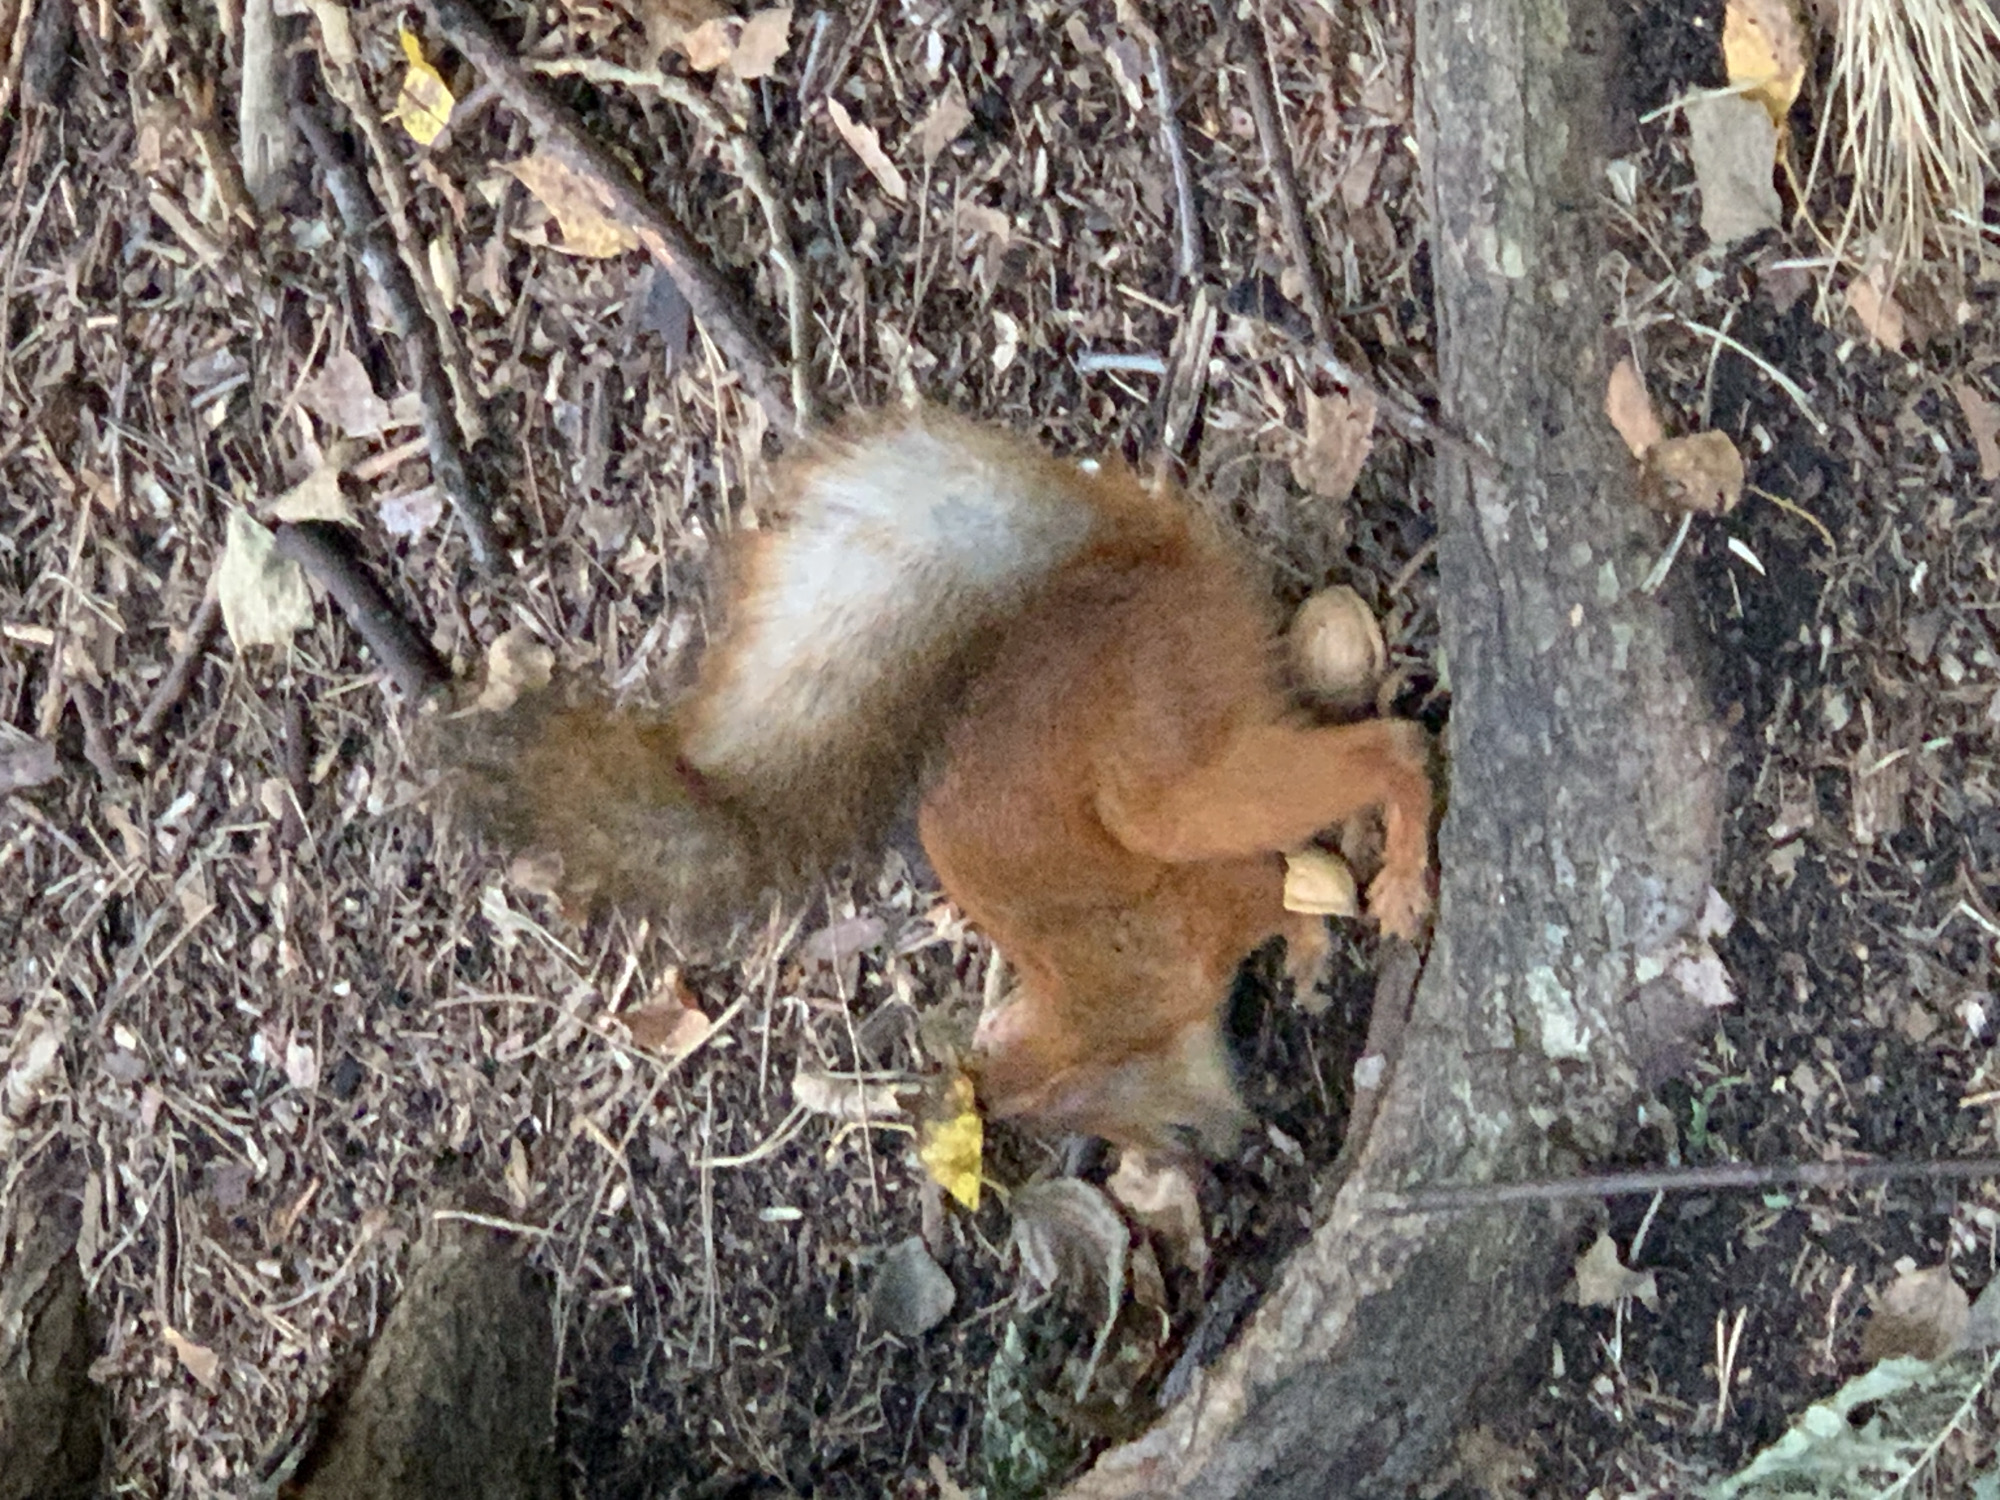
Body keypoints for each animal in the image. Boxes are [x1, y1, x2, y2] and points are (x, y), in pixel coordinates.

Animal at [445, 409, 1434, 1153]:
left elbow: (1267, 888)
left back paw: (1400, 862)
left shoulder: (1199, 915)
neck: (1098, 1000)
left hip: (1165, 764)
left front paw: (1305, 939)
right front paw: (1307, 945)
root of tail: (1137, 566)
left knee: (1388, 751)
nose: (1223, 1150)